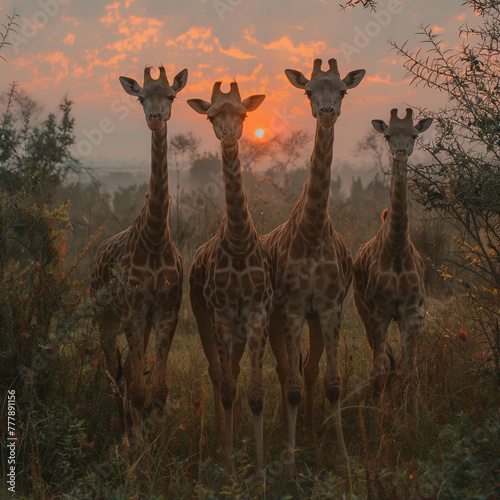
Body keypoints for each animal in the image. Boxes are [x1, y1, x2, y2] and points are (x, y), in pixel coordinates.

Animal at [90, 64, 188, 444]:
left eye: (172, 95)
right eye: (140, 97)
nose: (155, 118)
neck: (156, 237)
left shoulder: (166, 310)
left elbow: (158, 387)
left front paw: (158, 439)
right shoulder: (132, 311)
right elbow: (135, 387)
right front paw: (134, 442)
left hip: (140, 320)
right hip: (103, 313)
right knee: (111, 370)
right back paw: (118, 422)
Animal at [264, 59, 366, 464]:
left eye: (342, 91)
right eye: (308, 91)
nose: (326, 112)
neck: (312, 231)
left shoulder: (328, 308)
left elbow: (333, 382)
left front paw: (343, 456)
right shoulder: (292, 308)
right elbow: (290, 382)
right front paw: (290, 460)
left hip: (315, 319)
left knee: (307, 368)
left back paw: (308, 431)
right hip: (275, 317)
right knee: (284, 370)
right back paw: (288, 435)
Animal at [352, 107, 434, 408]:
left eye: (414, 135)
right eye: (387, 135)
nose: (400, 152)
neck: (396, 249)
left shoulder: (412, 313)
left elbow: (411, 372)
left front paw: (414, 414)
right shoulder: (378, 312)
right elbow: (378, 369)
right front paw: (377, 414)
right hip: (361, 308)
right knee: (380, 364)